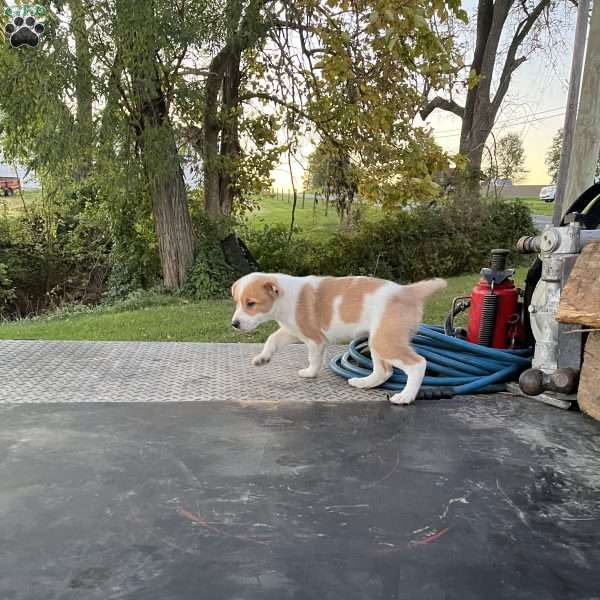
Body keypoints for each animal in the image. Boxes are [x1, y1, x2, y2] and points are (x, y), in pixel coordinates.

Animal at [230, 274, 446, 406]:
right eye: (237, 303)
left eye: (251, 303)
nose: (234, 324)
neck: (284, 297)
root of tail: (409, 291)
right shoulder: (292, 330)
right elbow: (272, 339)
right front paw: (262, 359)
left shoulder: (314, 338)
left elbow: (313, 358)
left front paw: (310, 373)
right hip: (377, 340)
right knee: (383, 371)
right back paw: (363, 383)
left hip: (386, 341)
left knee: (418, 364)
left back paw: (406, 396)